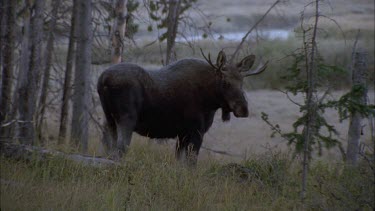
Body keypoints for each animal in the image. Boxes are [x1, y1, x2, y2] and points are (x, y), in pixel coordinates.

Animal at [97, 49, 268, 165]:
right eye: (226, 83)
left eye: (242, 81)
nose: (243, 109)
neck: (211, 100)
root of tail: (103, 79)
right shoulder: (196, 131)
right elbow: (191, 164)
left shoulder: (183, 134)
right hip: (126, 120)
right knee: (120, 149)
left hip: (109, 119)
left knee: (109, 148)